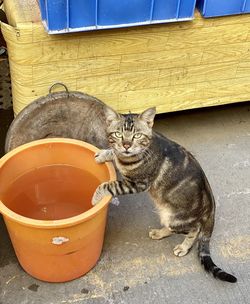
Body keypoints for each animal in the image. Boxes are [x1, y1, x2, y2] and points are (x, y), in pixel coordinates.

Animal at [93, 106, 237, 282]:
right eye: (118, 134)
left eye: (137, 135)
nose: (126, 145)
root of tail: (211, 203)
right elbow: (114, 152)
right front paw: (104, 154)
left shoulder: (136, 184)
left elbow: (109, 185)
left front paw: (95, 197)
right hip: (167, 215)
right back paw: (159, 233)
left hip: (175, 218)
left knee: (194, 229)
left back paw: (184, 247)